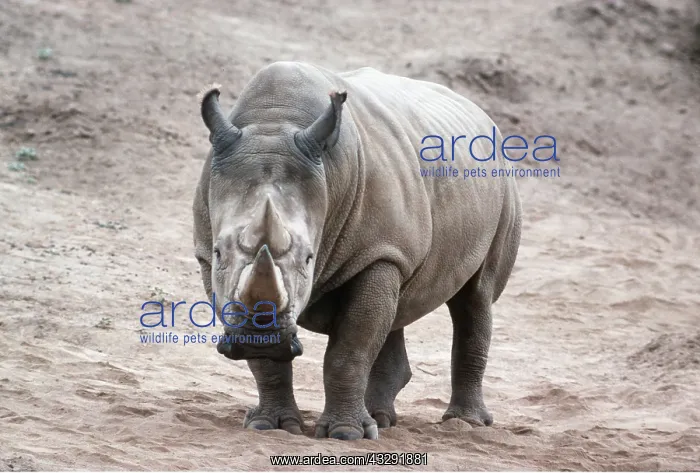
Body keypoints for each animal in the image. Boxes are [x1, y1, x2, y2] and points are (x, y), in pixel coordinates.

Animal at [192, 61, 522, 440]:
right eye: (219, 253)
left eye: (309, 258)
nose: (260, 338)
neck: (274, 122)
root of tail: (481, 114)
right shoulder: (206, 255)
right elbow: (269, 363)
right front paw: (270, 425)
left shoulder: (379, 252)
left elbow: (350, 349)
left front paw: (346, 434)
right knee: (398, 306)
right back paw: (381, 419)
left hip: (504, 187)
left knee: (475, 297)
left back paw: (465, 424)